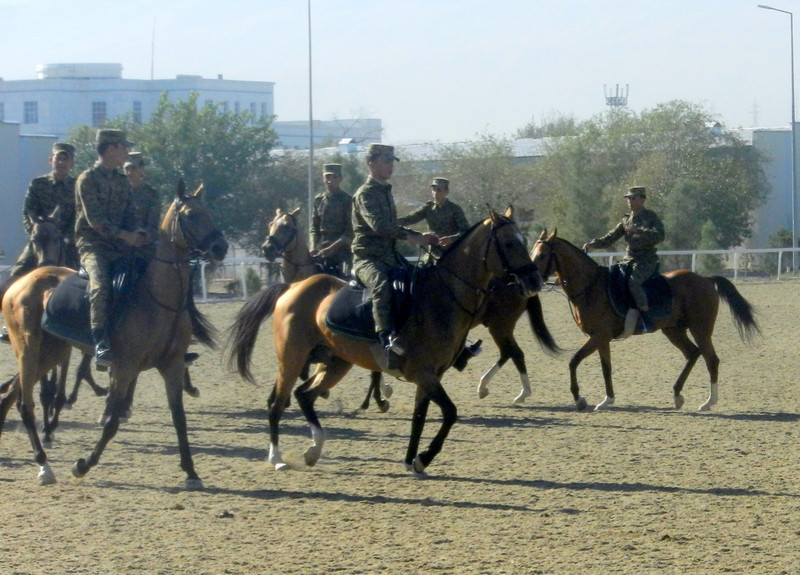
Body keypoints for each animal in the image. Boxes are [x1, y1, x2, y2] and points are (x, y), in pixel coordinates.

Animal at [1, 180, 227, 486]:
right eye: (191, 215)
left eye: (210, 213)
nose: (221, 247)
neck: (157, 297)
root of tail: (21, 283)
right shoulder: (123, 368)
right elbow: (111, 422)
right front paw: (83, 465)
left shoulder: (171, 365)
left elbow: (179, 418)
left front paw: (191, 472)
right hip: (29, 349)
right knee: (25, 404)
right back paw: (44, 465)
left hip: (51, 353)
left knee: (11, 394)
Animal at [230, 207, 544, 476]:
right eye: (509, 243)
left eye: (523, 240)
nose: (534, 280)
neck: (441, 295)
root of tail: (293, 288)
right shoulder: (424, 373)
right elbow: (450, 413)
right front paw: (423, 457)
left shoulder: (431, 376)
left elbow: (420, 416)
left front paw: (411, 459)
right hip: (292, 358)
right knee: (278, 404)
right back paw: (278, 458)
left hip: (336, 362)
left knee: (304, 395)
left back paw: (313, 450)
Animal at [528, 227, 760, 412]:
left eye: (542, 255)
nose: (531, 281)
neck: (590, 286)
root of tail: (705, 279)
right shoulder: (601, 339)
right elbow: (605, 367)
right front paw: (607, 400)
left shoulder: (598, 336)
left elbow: (573, 361)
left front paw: (580, 399)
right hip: (673, 330)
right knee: (692, 354)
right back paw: (677, 395)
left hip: (700, 330)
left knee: (711, 359)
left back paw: (709, 402)